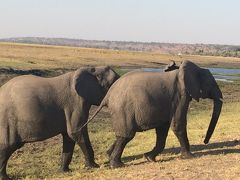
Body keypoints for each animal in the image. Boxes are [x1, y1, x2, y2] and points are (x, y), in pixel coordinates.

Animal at [81, 60, 223, 169]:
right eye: (211, 84)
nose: (205, 141)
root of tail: (108, 96)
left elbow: (162, 130)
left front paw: (149, 158)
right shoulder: (180, 96)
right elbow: (177, 124)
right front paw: (190, 157)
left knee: (123, 135)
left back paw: (110, 155)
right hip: (122, 109)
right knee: (126, 136)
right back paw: (117, 165)